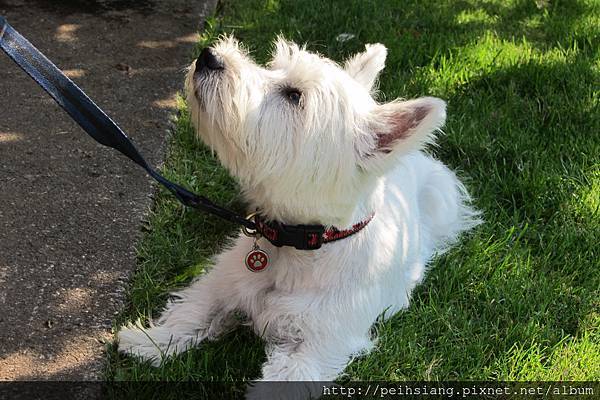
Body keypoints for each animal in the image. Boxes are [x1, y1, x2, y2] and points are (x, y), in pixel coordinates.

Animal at [119, 36, 480, 388]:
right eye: (273, 67)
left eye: (294, 95)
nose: (209, 56)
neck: (296, 243)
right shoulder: (223, 282)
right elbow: (193, 309)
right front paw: (147, 341)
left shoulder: (316, 346)